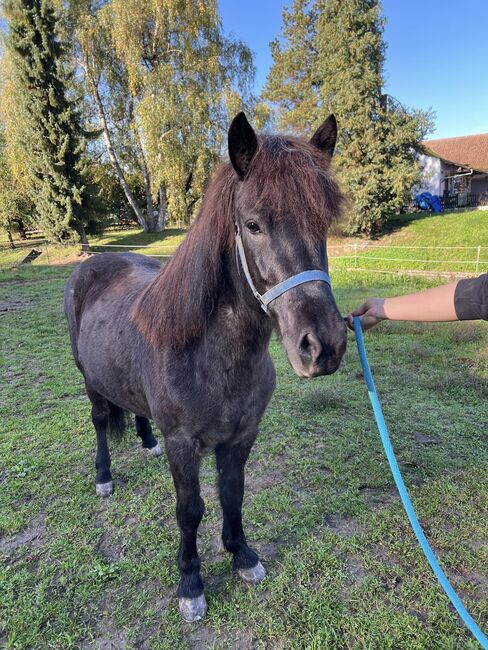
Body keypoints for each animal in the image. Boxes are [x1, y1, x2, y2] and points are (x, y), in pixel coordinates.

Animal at [65, 111, 346, 616]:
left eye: (324, 223)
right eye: (253, 224)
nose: (323, 346)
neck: (211, 358)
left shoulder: (241, 436)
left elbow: (232, 495)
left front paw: (242, 555)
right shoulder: (184, 445)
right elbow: (190, 509)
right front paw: (191, 583)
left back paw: (145, 440)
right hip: (89, 381)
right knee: (99, 421)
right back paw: (103, 476)